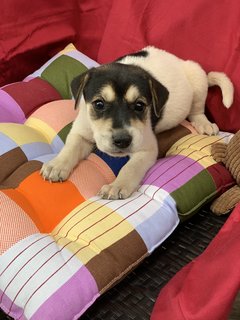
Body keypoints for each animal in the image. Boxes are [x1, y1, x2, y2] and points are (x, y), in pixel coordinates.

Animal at [40, 46, 233, 199]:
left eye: (140, 106)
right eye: (99, 104)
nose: (122, 141)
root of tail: (177, 60)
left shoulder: (146, 148)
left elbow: (130, 168)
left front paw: (116, 186)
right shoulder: (80, 132)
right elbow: (70, 148)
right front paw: (57, 165)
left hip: (197, 77)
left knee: (197, 110)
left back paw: (204, 124)